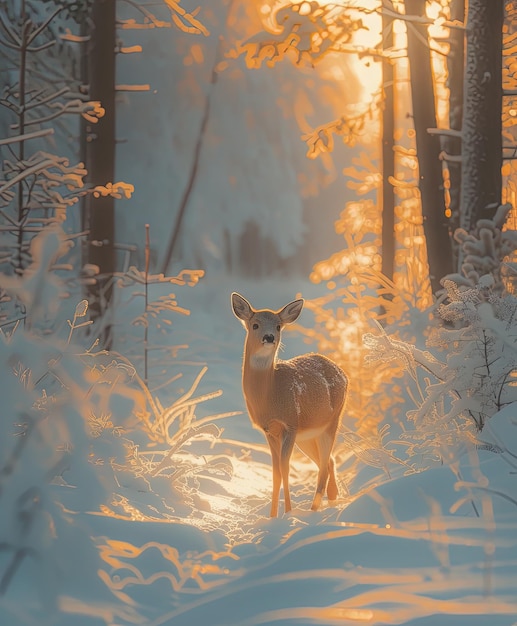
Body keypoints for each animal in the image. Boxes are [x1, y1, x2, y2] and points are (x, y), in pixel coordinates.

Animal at [231, 290, 346, 516]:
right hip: (308, 436)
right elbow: (275, 472)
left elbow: (285, 468)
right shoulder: (269, 430)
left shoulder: (290, 424)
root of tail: (342, 372)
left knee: (323, 465)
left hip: (332, 421)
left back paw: (314, 508)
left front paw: (288, 513)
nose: (269, 337)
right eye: (255, 324)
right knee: (328, 461)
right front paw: (272, 515)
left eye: (278, 326)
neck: (270, 394)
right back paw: (331, 498)